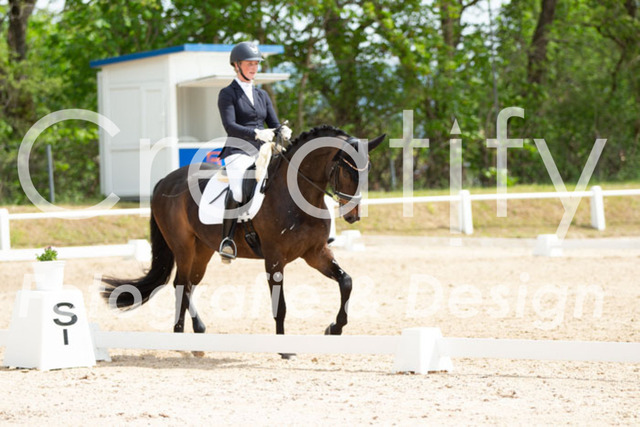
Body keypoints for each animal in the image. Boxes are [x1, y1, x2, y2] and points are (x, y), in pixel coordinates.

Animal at [102, 125, 385, 347]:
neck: (299, 197)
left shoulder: (315, 252)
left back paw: (198, 334)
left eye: (368, 168)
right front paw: (285, 350)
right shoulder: (274, 258)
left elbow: (346, 282)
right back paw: (180, 336)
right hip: (183, 247)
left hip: (202, 250)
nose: (353, 215)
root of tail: (165, 180)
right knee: (181, 285)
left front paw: (334, 328)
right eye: (347, 170)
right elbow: (280, 304)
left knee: (189, 285)